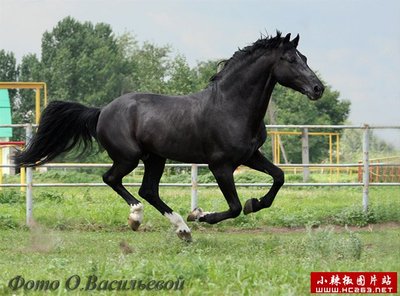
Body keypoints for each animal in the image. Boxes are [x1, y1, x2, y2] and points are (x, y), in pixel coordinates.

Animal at [15, 32, 324, 240]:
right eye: (290, 59)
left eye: (305, 58)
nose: (318, 88)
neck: (230, 106)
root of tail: (102, 110)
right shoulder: (221, 165)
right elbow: (234, 207)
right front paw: (200, 214)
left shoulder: (250, 155)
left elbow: (279, 177)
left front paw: (255, 203)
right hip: (129, 157)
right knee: (113, 179)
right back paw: (141, 218)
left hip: (156, 158)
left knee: (148, 190)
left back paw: (182, 230)